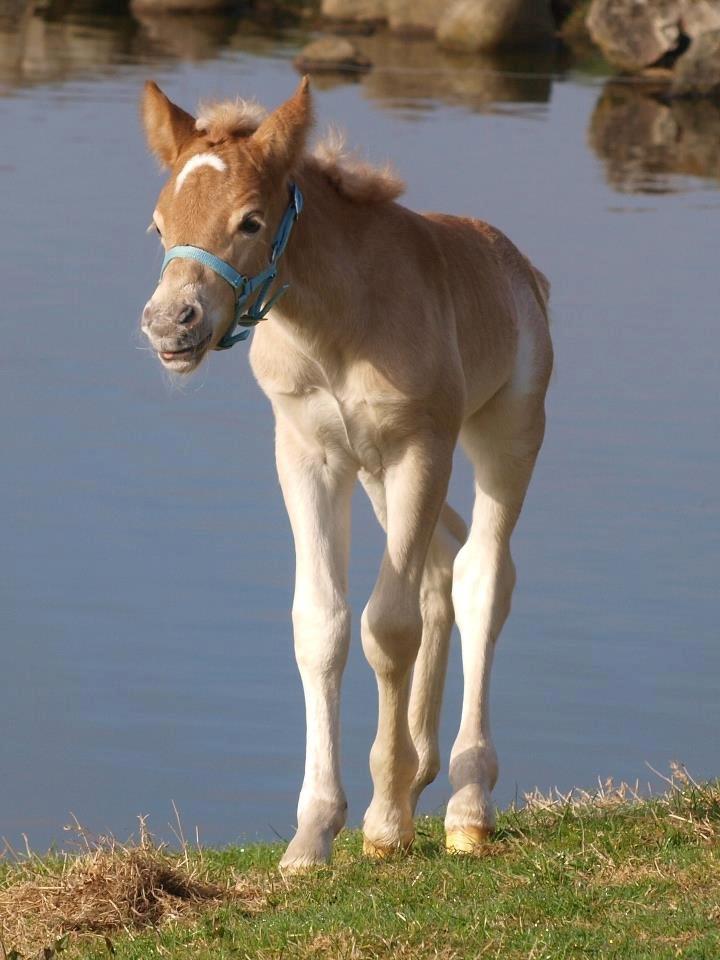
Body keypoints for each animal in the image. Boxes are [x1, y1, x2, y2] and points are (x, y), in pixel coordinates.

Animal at [142, 77, 556, 872]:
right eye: (157, 225)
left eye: (250, 221)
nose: (170, 324)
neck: (334, 322)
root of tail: (522, 268)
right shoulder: (308, 452)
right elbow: (321, 624)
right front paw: (313, 835)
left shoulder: (421, 445)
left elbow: (385, 626)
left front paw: (386, 824)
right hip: (374, 474)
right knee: (442, 564)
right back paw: (423, 768)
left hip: (506, 430)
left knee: (484, 574)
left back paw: (466, 805)